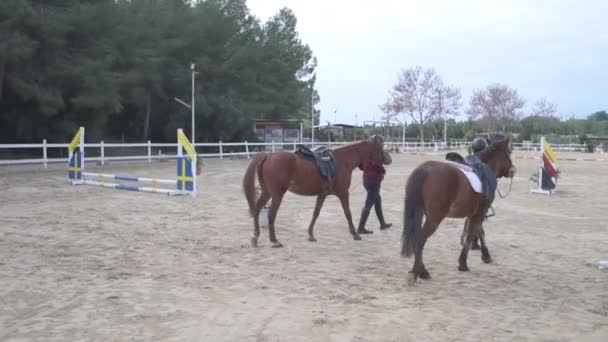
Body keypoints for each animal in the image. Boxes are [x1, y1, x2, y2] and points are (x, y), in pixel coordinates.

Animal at [242, 135, 384, 247]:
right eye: (379, 148)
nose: (387, 159)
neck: (342, 161)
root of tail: (267, 156)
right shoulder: (344, 193)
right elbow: (347, 213)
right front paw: (355, 234)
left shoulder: (322, 194)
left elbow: (316, 213)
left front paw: (310, 235)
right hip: (277, 194)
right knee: (271, 214)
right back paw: (274, 241)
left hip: (267, 192)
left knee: (257, 209)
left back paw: (255, 238)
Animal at [402, 133, 516, 284]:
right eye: (508, 152)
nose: (513, 170)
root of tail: (425, 169)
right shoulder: (480, 213)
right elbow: (474, 233)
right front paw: (464, 263)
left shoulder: (473, 214)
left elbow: (478, 231)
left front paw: (484, 256)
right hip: (434, 219)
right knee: (420, 240)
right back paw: (420, 272)